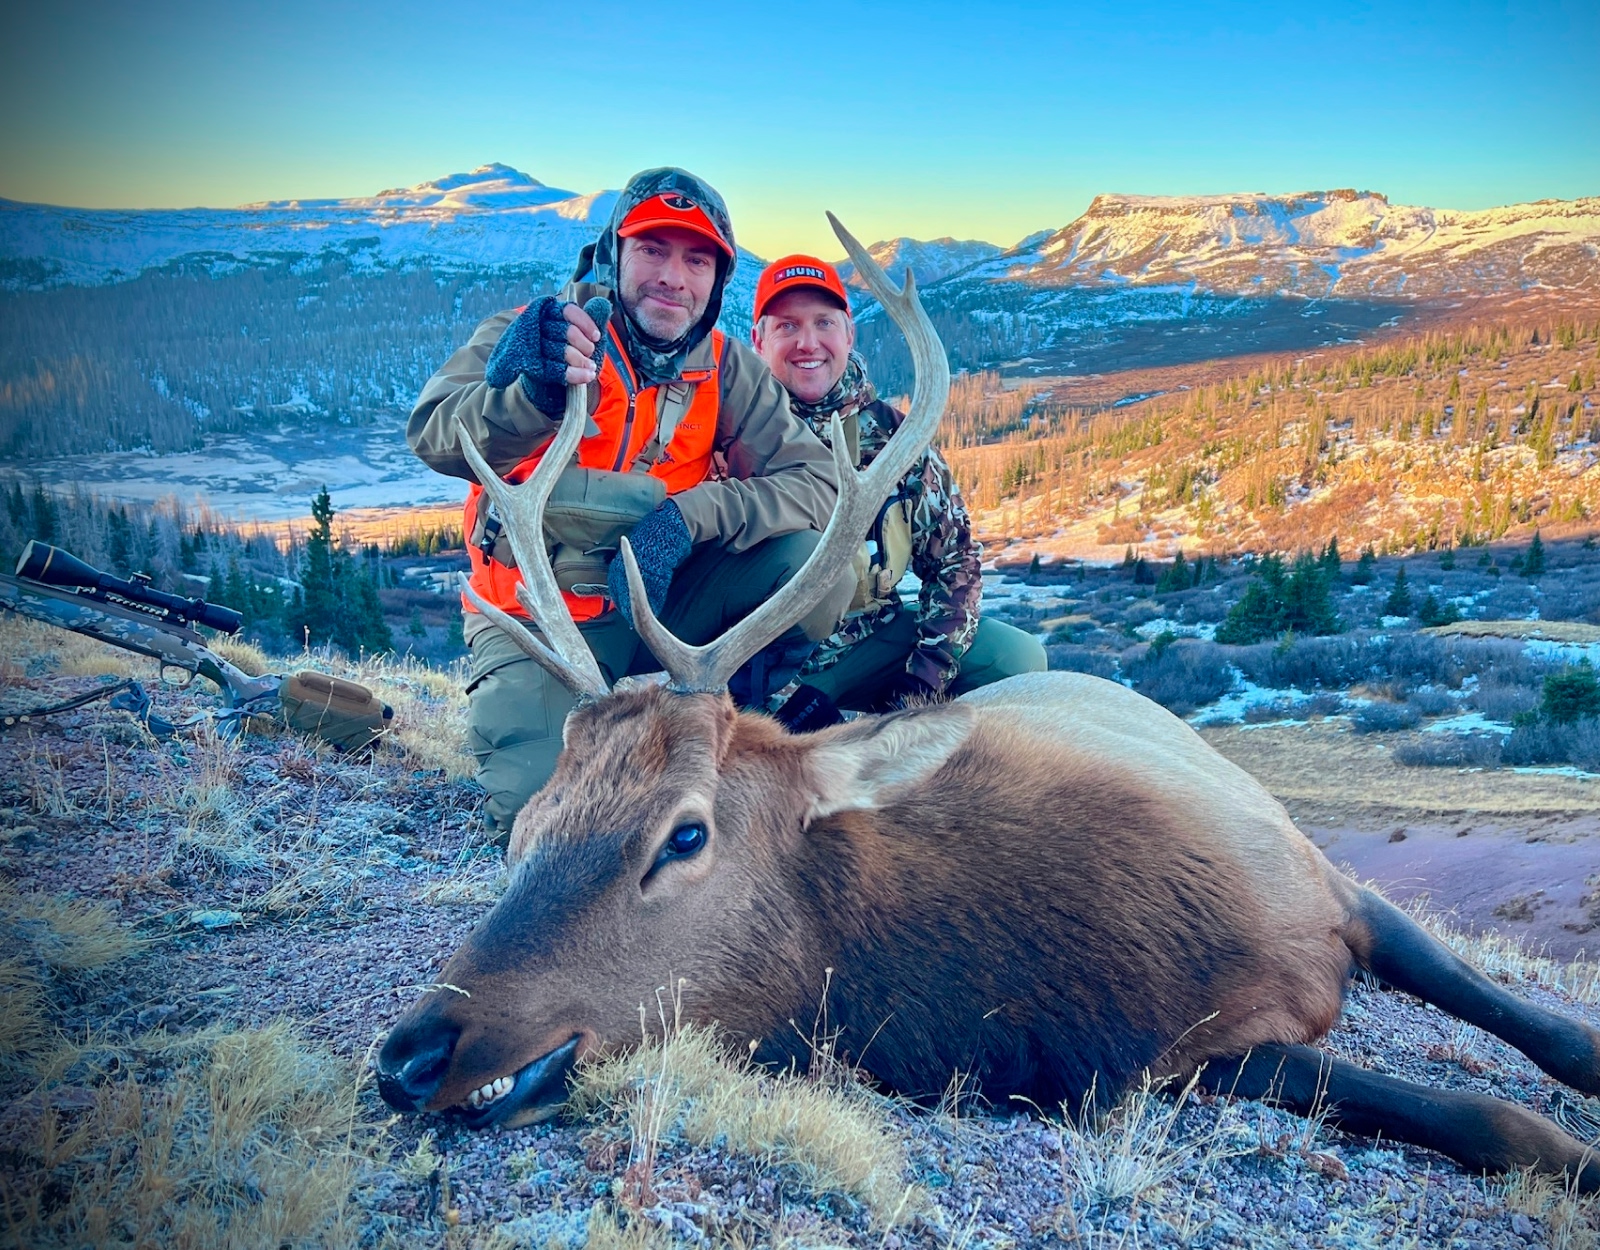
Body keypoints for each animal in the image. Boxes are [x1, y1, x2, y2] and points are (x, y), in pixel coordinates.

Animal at [376, 215, 1600, 1191]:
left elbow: (1536, 1035)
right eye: (528, 831)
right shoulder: (1194, 1057)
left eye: (684, 833)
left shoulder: (1324, 876)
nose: (411, 1051)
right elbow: (1494, 1118)